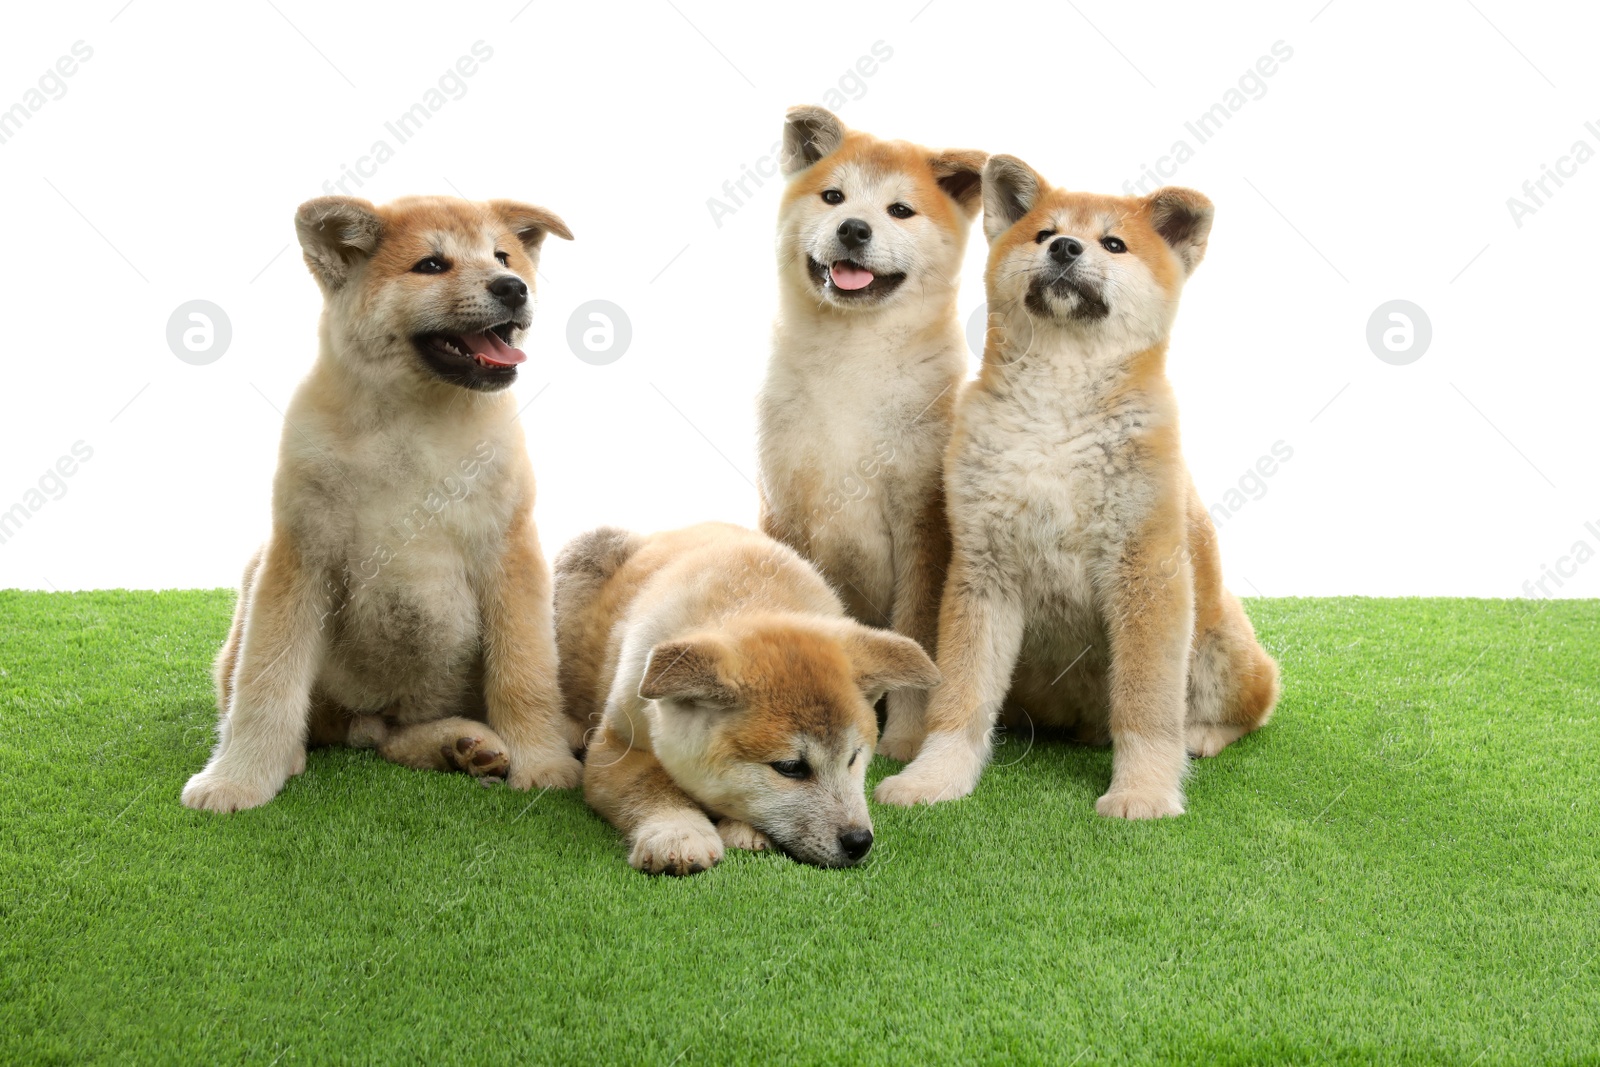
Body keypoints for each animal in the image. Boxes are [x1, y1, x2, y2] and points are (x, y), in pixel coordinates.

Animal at [183, 195, 582, 819]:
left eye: (502, 256)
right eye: (431, 265)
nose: (513, 287)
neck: (413, 420)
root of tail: (374, 716)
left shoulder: (510, 554)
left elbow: (525, 673)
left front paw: (542, 762)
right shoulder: (299, 555)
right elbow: (266, 683)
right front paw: (239, 779)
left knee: (394, 740)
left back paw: (467, 745)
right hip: (258, 591)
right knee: (325, 723)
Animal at [556, 521, 940, 870]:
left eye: (854, 757)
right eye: (791, 768)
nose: (858, 841)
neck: (751, 592)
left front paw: (745, 831)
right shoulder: (614, 746)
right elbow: (649, 783)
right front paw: (678, 834)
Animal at [752, 103, 985, 764]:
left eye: (899, 210)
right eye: (833, 196)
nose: (854, 229)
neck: (851, 362)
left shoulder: (921, 527)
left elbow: (914, 638)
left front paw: (904, 740)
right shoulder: (784, 509)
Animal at [870, 156, 1280, 819]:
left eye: (1113, 244)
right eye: (1044, 233)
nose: (1064, 248)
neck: (1056, 412)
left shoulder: (1147, 572)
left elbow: (1145, 705)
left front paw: (1144, 791)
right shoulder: (981, 572)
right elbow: (960, 698)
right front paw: (935, 777)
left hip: (1221, 647)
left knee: (1250, 706)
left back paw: (1200, 737)